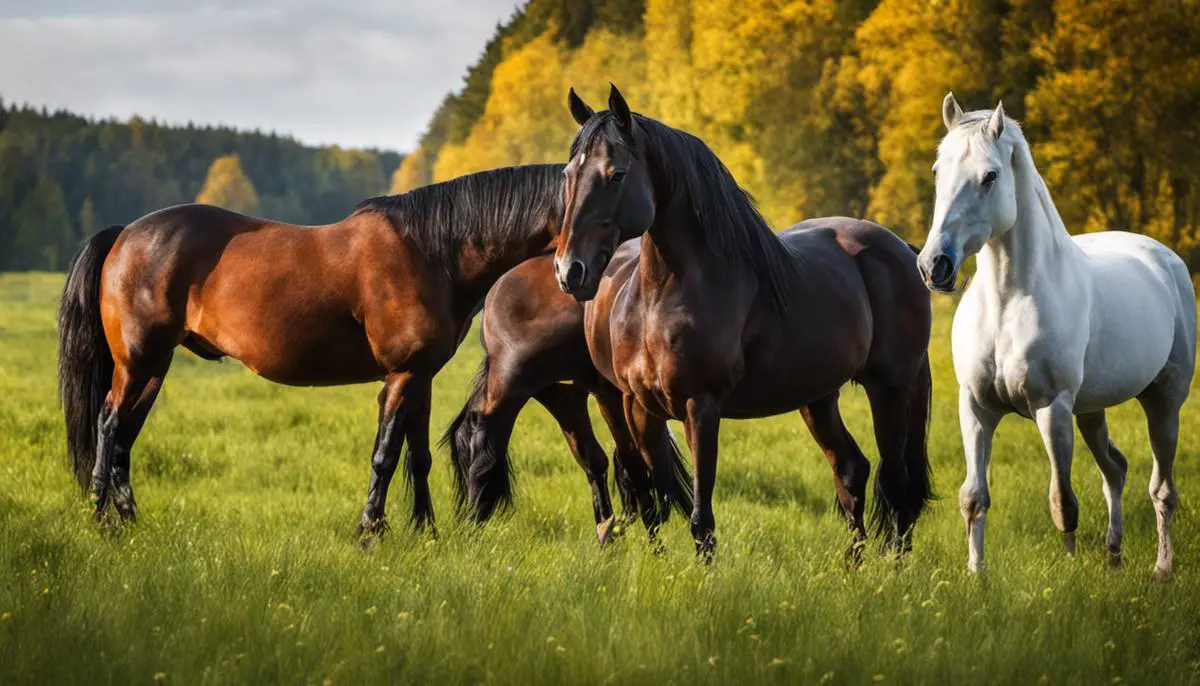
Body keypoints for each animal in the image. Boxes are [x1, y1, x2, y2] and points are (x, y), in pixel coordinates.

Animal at [62, 163, 571, 539]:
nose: (572, 272)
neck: (431, 251)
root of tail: (124, 234)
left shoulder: (420, 376)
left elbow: (418, 456)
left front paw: (425, 532)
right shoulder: (400, 375)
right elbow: (385, 455)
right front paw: (371, 531)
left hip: (153, 368)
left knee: (124, 438)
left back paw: (129, 520)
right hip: (136, 363)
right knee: (108, 424)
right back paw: (100, 520)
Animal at [444, 249, 696, 544]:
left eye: (467, 458)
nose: (466, 529)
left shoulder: (605, 394)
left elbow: (632, 461)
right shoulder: (562, 393)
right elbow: (598, 459)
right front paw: (611, 530)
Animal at [552, 84, 936, 556]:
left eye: (617, 175)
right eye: (568, 175)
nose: (570, 270)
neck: (663, 298)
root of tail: (902, 249)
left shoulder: (701, 407)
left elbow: (701, 518)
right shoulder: (638, 407)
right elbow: (653, 502)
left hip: (890, 390)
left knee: (897, 485)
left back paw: (892, 567)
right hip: (818, 397)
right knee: (851, 470)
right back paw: (853, 564)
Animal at [916, 92, 1190, 578]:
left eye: (990, 176)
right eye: (936, 170)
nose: (935, 265)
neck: (1008, 303)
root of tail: (1163, 258)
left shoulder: (1052, 407)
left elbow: (1063, 501)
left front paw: (1069, 571)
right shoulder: (976, 407)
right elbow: (973, 497)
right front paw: (976, 576)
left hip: (1164, 401)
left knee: (1161, 488)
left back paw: (1161, 568)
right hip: (1092, 410)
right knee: (1115, 469)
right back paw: (1114, 555)